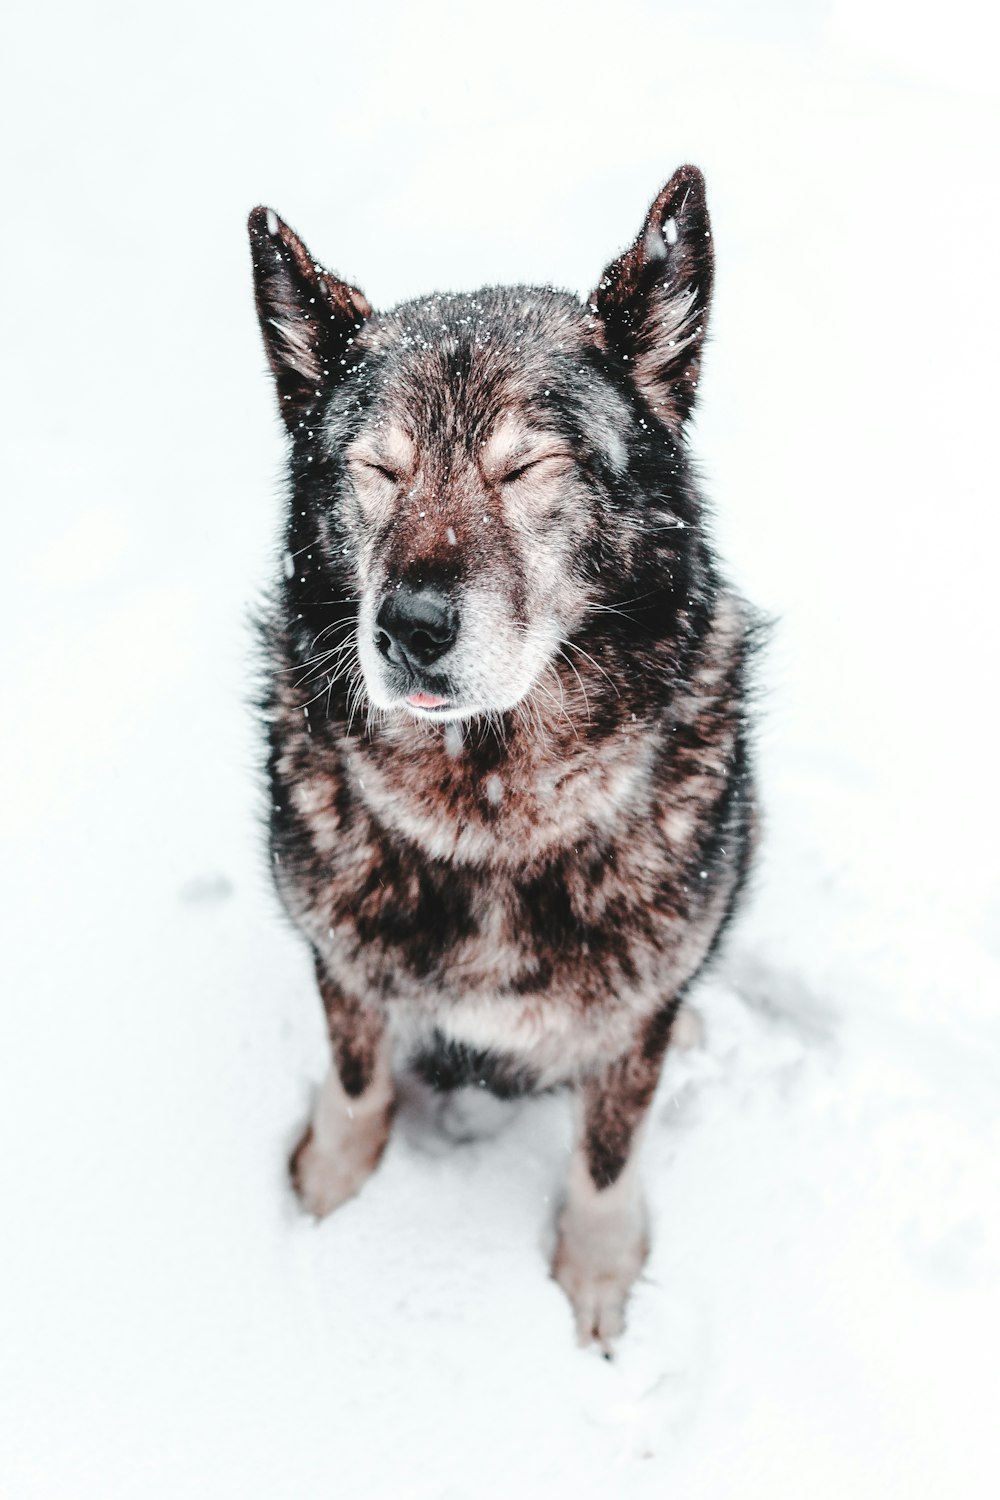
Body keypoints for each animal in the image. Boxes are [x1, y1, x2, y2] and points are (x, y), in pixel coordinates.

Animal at [248, 167, 758, 1350]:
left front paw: (598, 1275)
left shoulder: (627, 1034)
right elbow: (355, 1081)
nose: (409, 626)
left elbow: (608, 1154)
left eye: (527, 465)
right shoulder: (343, 966)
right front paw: (329, 1196)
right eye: (378, 469)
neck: (486, 817)